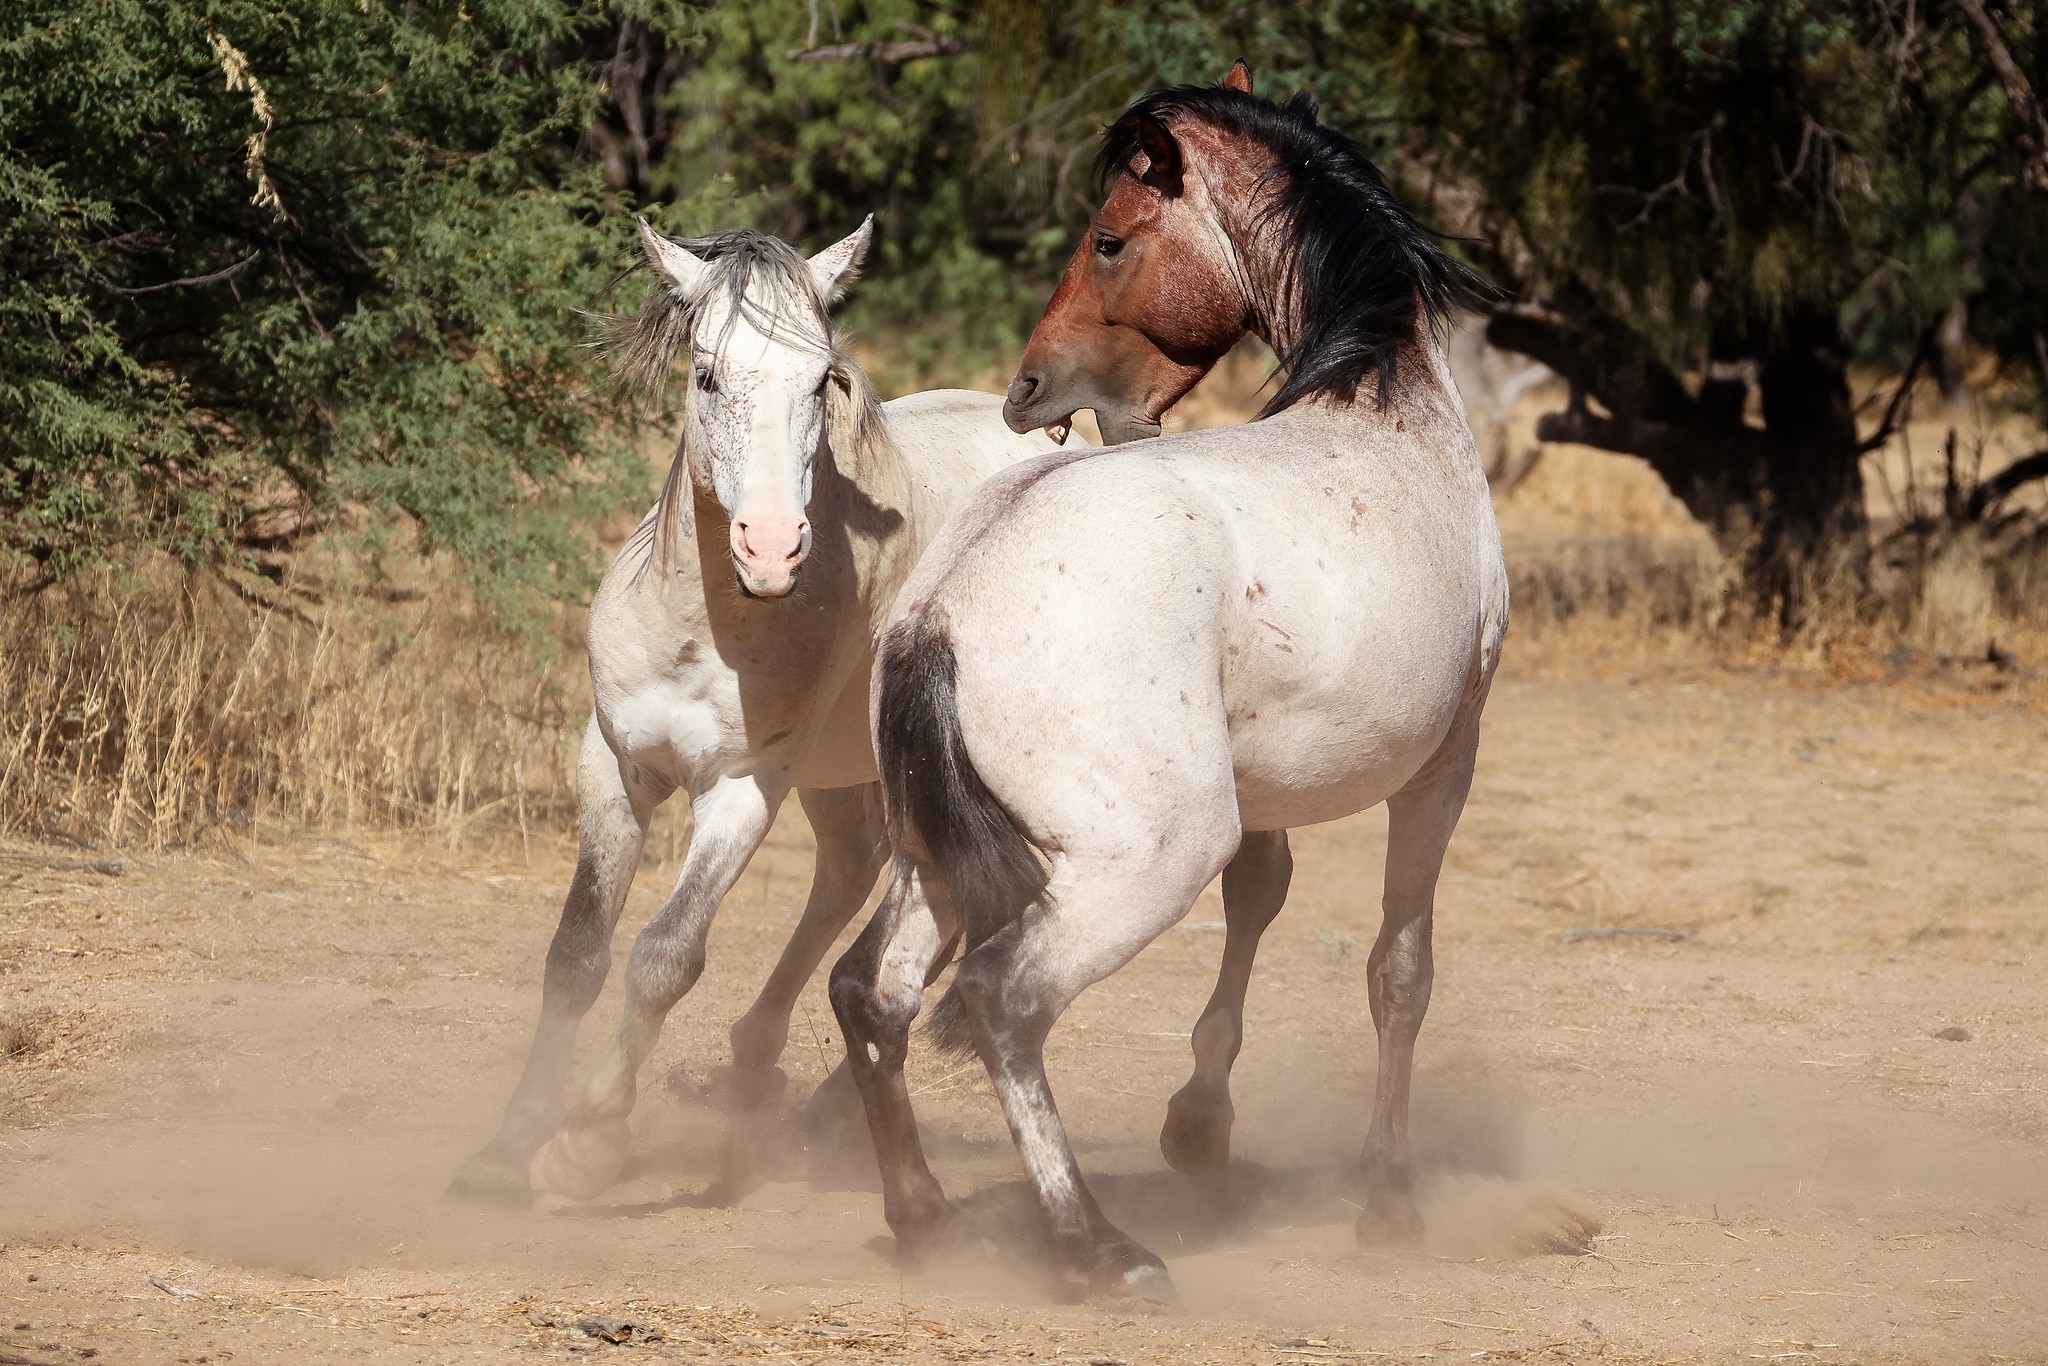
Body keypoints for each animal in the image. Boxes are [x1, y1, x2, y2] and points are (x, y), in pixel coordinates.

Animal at [446, 216, 1073, 1204]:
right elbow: (577, 955)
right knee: (853, 875)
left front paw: (586, 1142)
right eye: (706, 374)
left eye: (823, 379)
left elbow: (665, 958)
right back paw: (760, 1069)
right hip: (848, 775)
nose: (772, 549)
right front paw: (509, 1144)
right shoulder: (613, 765)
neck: (702, 627)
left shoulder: (744, 789)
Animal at [827, 66, 1523, 1302]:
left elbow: (1263, 900)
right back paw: (1096, 1248)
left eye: (1108, 238)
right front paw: (1387, 1198)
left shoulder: (1263, 782)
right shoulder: (1444, 768)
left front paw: (1201, 1125)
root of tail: (946, 608)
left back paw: (925, 1218)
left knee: (873, 994)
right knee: (1002, 1004)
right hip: (1142, 861)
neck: (1386, 405)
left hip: (937, 858)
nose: (1029, 389)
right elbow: (1399, 972)